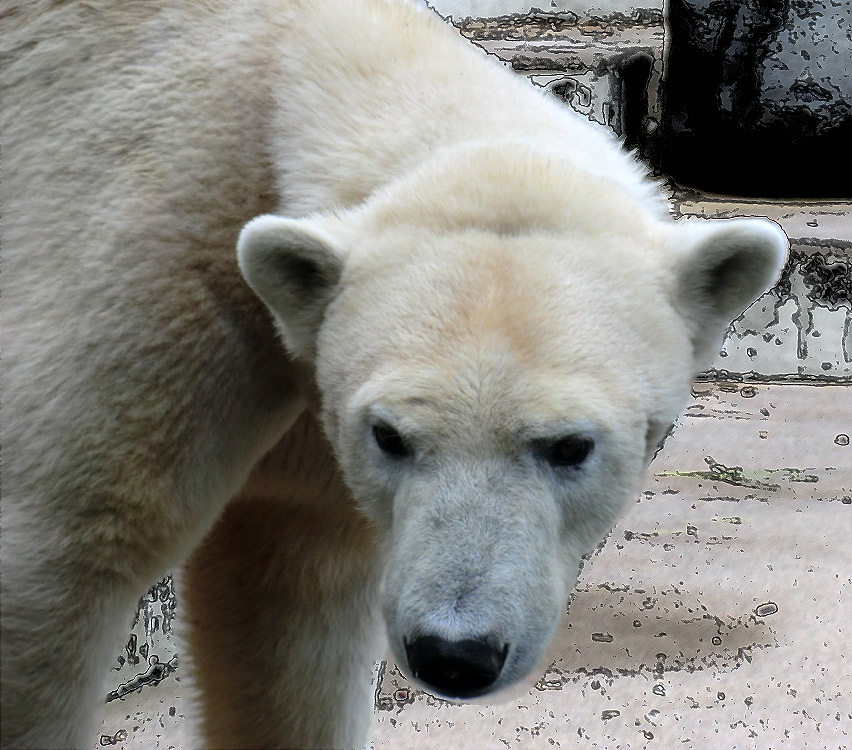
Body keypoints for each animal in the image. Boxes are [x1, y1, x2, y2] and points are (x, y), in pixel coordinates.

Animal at [1, 1, 784, 750]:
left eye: (570, 447)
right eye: (391, 436)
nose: (456, 655)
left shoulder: (311, 390)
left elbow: (289, 591)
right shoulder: (157, 254)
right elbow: (68, 542)